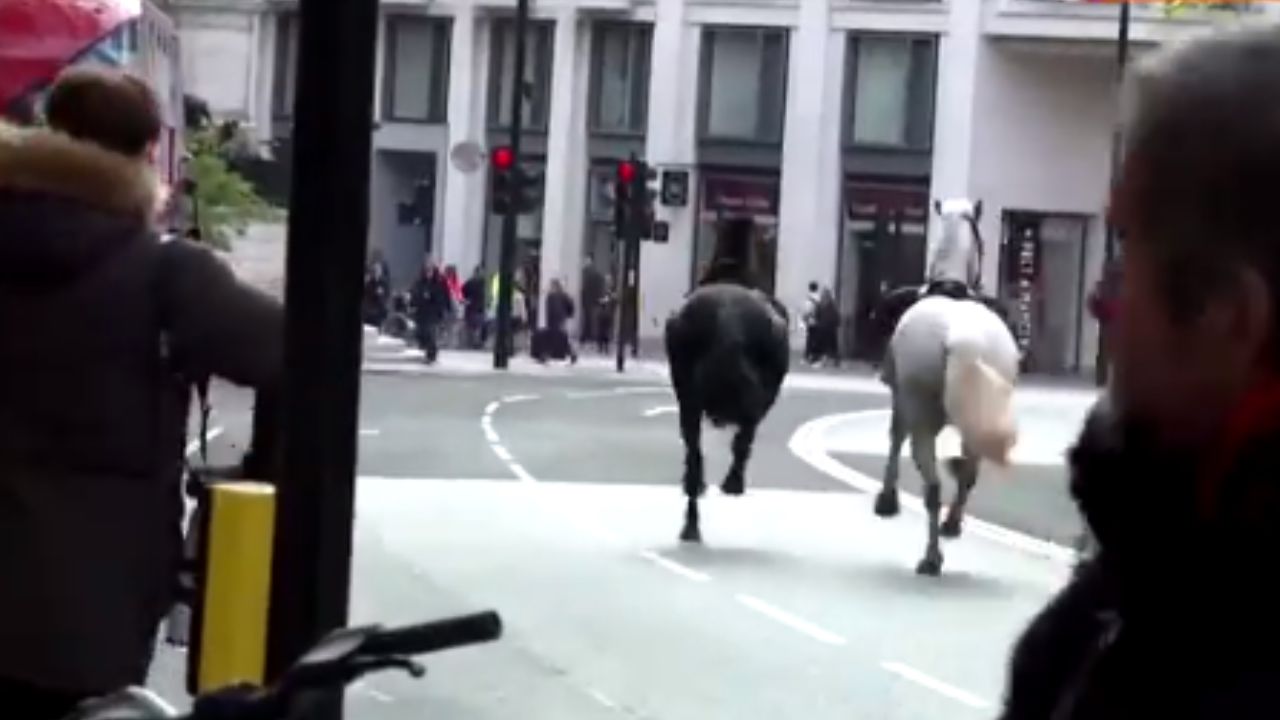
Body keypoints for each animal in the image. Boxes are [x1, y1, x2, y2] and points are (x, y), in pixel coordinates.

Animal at [665, 219, 783, 538]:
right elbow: (745, 436)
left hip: (688, 397)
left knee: (694, 456)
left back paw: (691, 522)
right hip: (752, 393)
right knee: (741, 438)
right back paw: (732, 482)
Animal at [870, 194, 1018, 571]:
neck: (950, 288)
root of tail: (961, 338)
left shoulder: (901, 399)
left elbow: (894, 436)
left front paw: (887, 499)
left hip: (922, 416)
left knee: (933, 485)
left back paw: (932, 556)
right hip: (976, 418)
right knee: (967, 473)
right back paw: (950, 527)